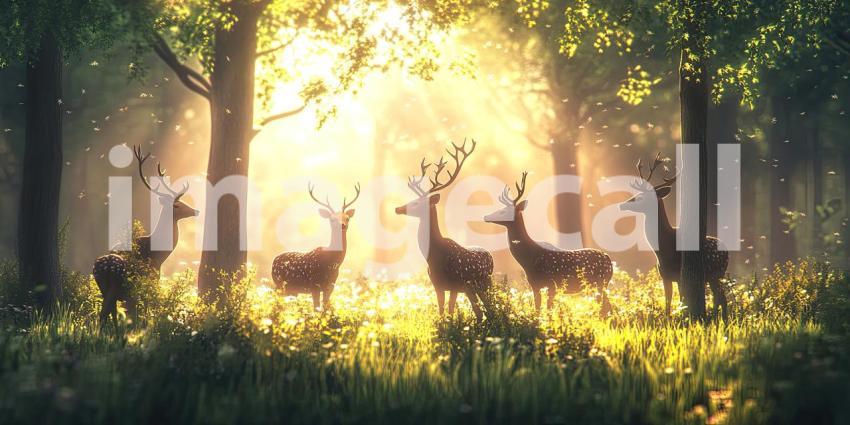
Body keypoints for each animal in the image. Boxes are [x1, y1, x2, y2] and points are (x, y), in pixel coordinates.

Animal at [93, 146, 198, 324]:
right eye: (177, 205)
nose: (196, 210)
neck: (159, 256)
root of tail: (100, 267)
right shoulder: (151, 281)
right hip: (115, 286)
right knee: (105, 314)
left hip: (104, 288)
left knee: (107, 314)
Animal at [394, 139, 494, 320]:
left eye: (417, 203)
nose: (398, 208)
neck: (434, 257)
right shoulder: (437, 285)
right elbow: (441, 311)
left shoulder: (455, 283)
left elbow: (450, 311)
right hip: (472, 288)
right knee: (481, 311)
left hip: (484, 283)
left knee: (487, 310)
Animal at [484, 172, 613, 314]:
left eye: (504, 211)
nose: (485, 216)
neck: (530, 259)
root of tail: (609, 260)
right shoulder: (534, 285)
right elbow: (537, 310)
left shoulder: (552, 284)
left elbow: (549, 310)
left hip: (601, 282)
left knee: (605, 308)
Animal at [618, 153, 728, 317]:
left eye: (641, 197)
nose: (622, 204)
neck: (664, 250)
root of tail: (727, 250)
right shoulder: (665, 276)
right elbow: (668, 303)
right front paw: (668, 319)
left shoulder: (680, 275)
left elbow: (682, 300)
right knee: (719, 297)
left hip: (717, 272)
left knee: (721, 297)